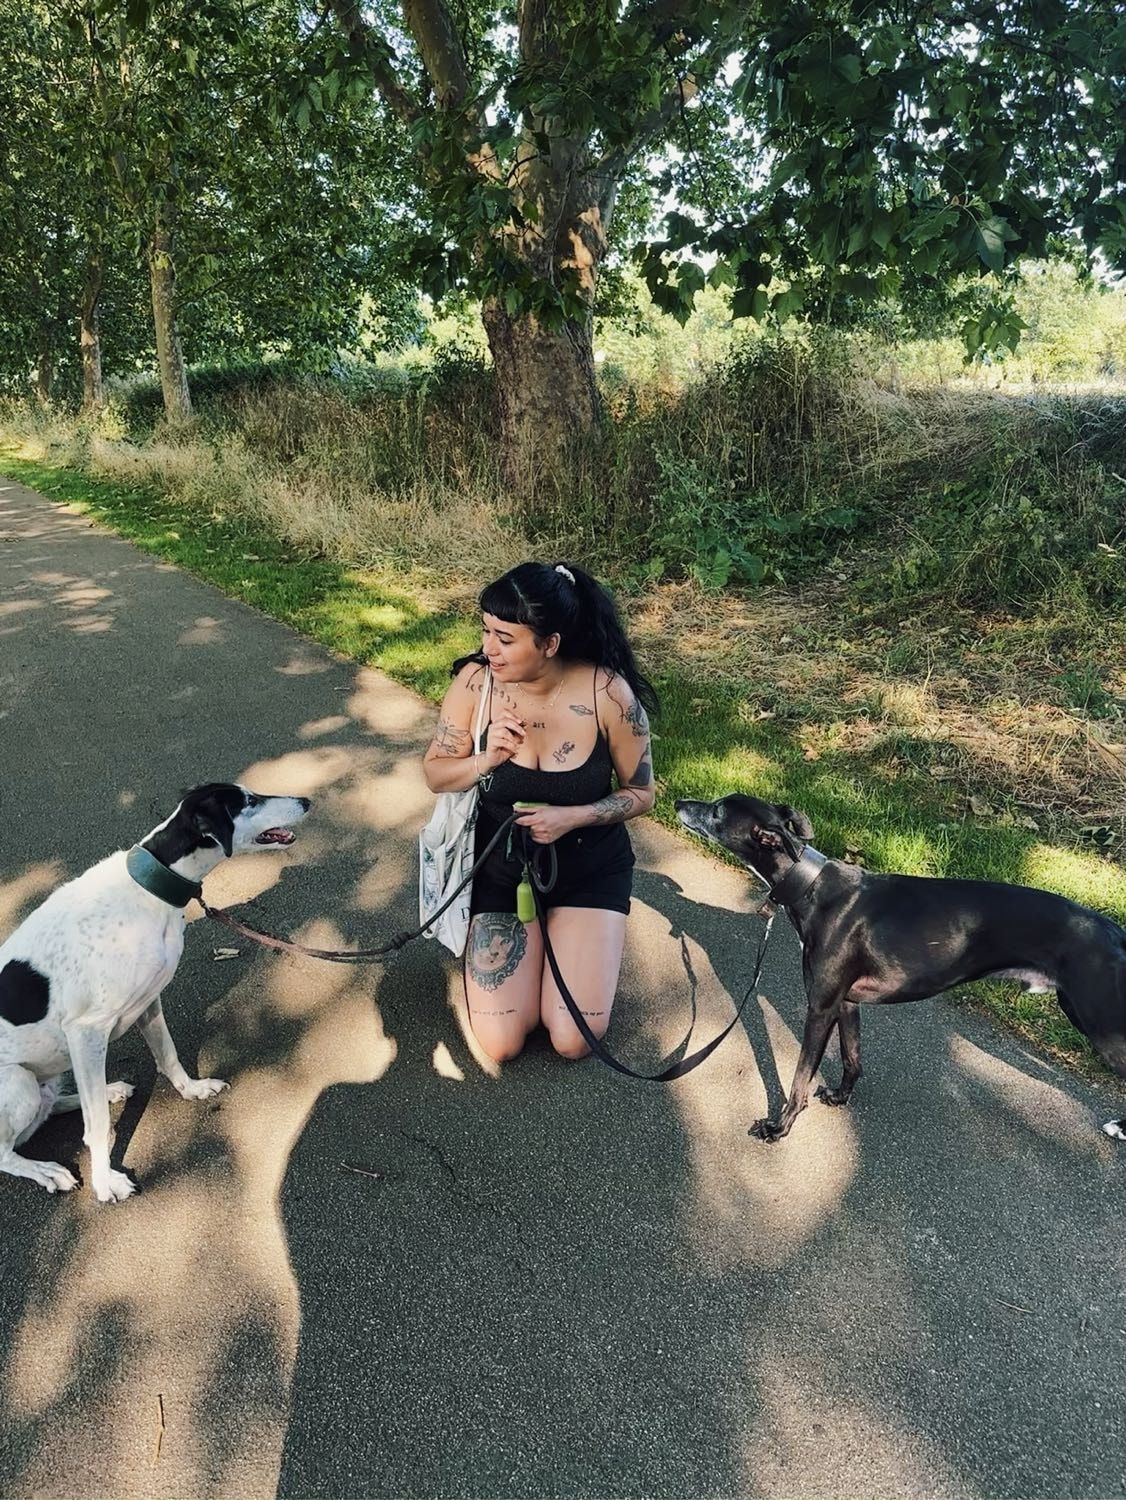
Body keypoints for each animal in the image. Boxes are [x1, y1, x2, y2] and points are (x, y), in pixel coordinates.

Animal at [0, 783, 310, 1201]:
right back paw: (45, 1169)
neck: (148, 890)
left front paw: (193, 1089)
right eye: (249, 801)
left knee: (59, 1103)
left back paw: (108, 1090)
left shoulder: (148, 1003)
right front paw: (105, 1182)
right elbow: (97, 1126)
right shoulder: (85, 1032)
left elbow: (168, 1055)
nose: (307, 801)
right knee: (7, 1150)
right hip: (18, 1081)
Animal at [676, 795, 1126, 1143]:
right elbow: (852, 1059)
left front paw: (779, 1128)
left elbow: (800, 1077)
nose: (680, 802)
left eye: (717, 811)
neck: (811, 886)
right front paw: (840, 1097)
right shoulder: (846, 1002)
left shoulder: (819, 1008)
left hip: (1104, 1029)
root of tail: (1115, 931)